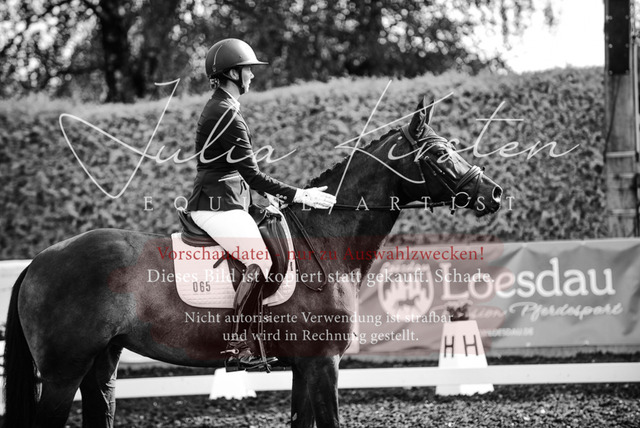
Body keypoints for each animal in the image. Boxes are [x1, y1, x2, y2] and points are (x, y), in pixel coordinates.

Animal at [3, 97, 502, 428]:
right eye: (440, 154)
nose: (493, 193)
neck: (326, 239)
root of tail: (39, 261)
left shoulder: (304, 365)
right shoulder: (324, 362)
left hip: (101, 361)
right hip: (64, 370)